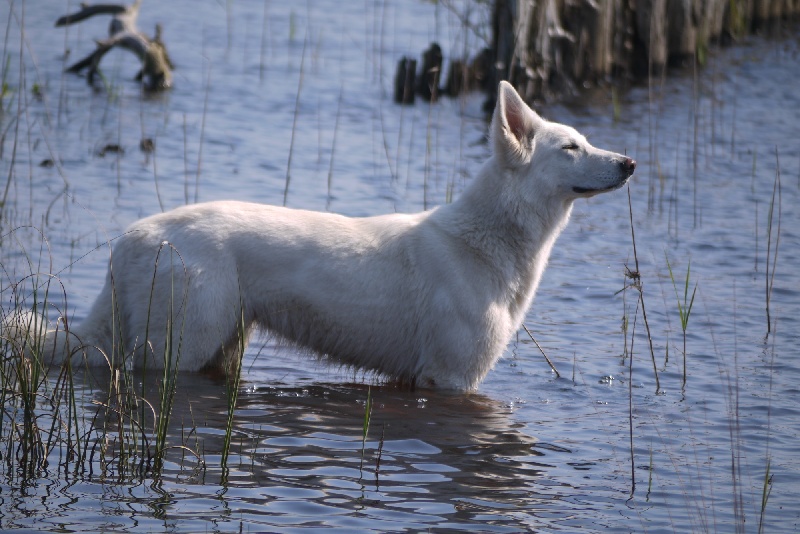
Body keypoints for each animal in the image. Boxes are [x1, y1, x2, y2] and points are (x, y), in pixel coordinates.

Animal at [3, 81, 636, 392]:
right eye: (571, 147)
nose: (630, 163)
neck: (487, 239)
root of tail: (130, 239)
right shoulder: (450, 379)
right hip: (180, 352)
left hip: (220, 345)